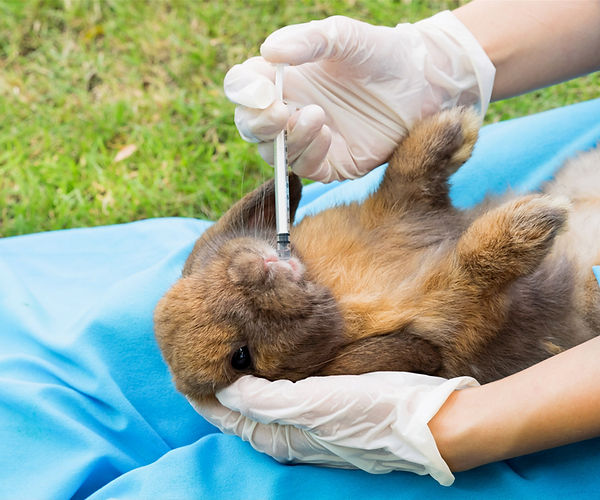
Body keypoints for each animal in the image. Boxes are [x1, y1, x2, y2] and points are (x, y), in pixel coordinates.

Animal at [154, 107, 600, 404]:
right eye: (240, 358)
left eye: (212, 268)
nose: (254, 271)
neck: (330, 284)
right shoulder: (461, 317)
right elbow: (469, 267)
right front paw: (532, 222)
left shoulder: (400, 209)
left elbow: (406, 174)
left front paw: (452, 127)